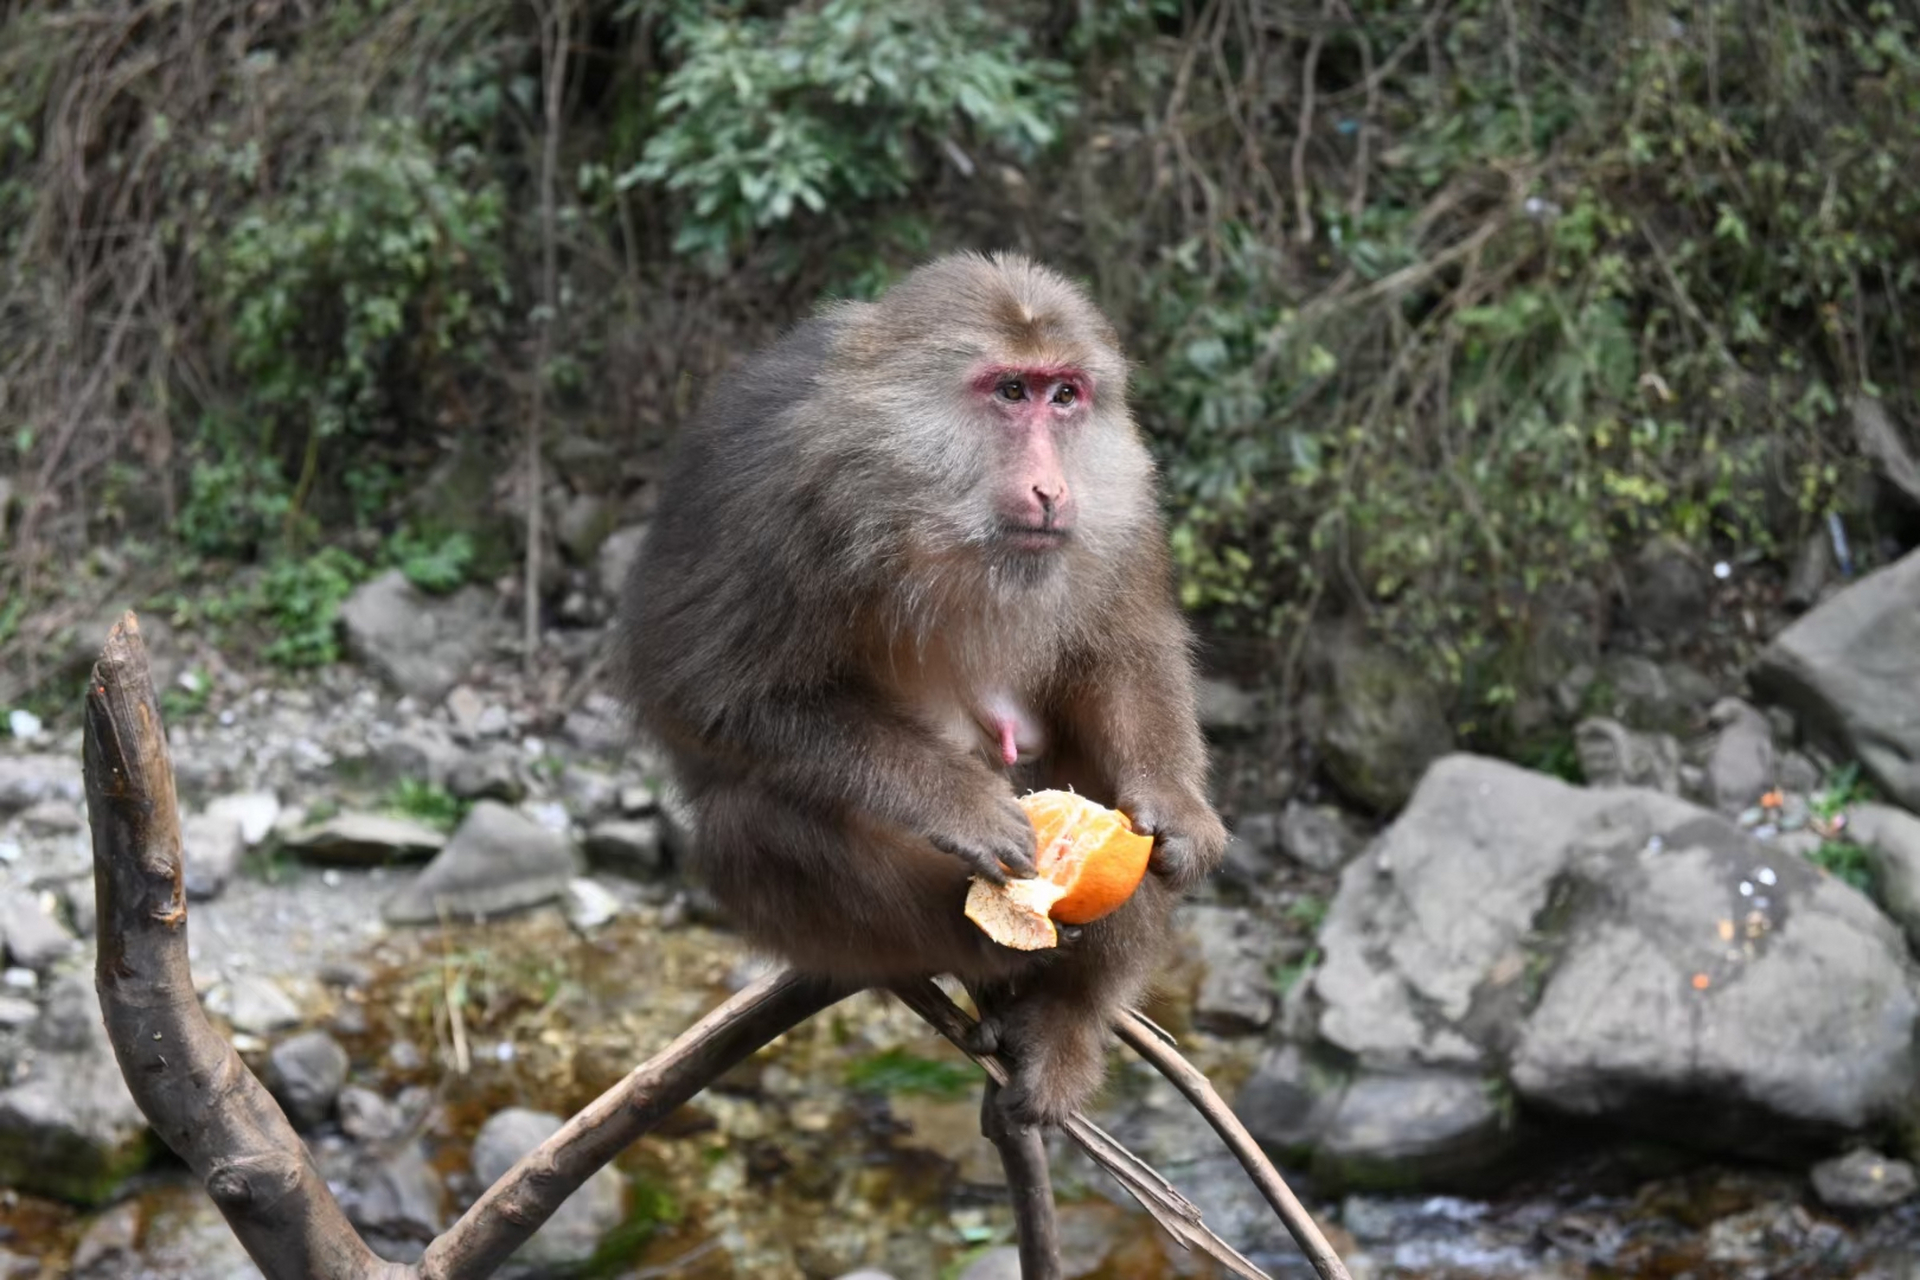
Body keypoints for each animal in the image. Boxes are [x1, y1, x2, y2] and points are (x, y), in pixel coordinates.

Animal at [622, 253, 1228, 1128]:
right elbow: (711, 694)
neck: (919, 498)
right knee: (752, 819)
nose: (1052, 489)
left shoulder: (1124, 496)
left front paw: (1175, 806)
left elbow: (1123, 650)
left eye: (1065, 394)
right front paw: (960, 803)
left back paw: (1064, 1017)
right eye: (1009, 391)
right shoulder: (777, 494)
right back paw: (973, 938)